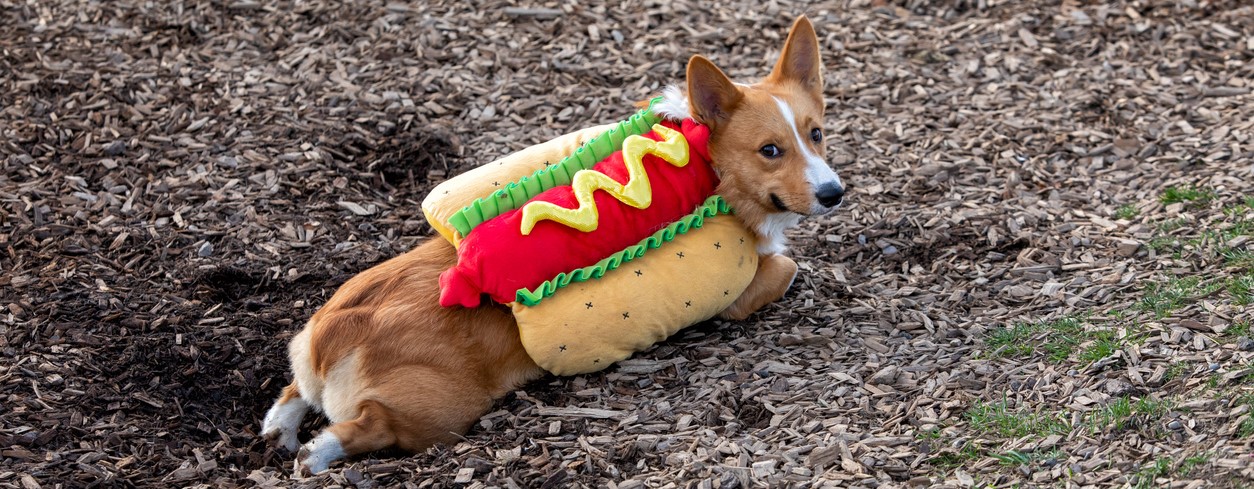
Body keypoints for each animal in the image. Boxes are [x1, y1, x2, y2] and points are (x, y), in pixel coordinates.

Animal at [259, 15, 847, 473]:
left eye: (816, 133)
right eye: (770, 150)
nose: (834, 194)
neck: (707, 163)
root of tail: (336, 331)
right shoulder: (743, 285)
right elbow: (785, 267)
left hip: (317, 344)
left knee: (291, 393)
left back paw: (279, 432)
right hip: (436, 412)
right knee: (371, 426)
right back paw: (316, 453)